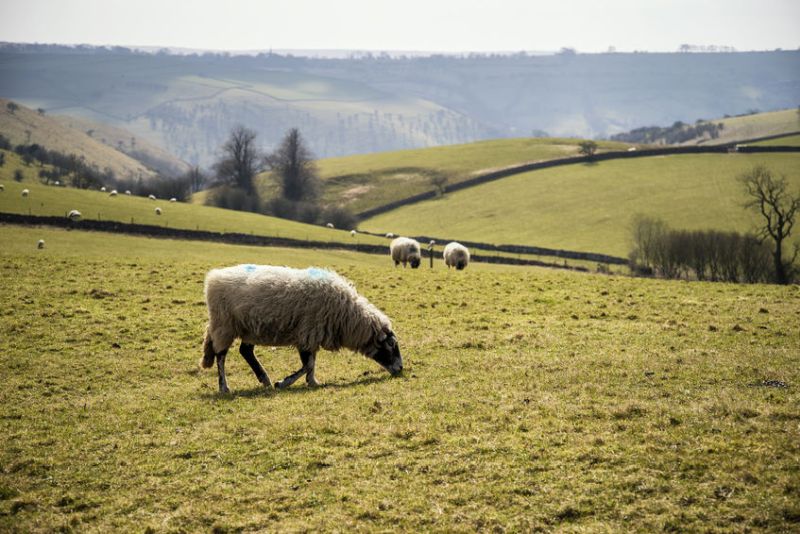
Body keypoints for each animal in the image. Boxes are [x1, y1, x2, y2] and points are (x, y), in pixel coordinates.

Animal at [203, 266, 404, 396]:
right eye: (391, 345)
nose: (401, 369)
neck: (348, 316)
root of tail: (214, 277)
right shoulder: (308, 332)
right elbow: (308, 364)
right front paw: (284, 382)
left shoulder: (312, 335)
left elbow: (312, 363)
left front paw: (312, 382)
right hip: (224, 325)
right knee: (221, 356)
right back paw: (224, 387)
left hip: (249, 327)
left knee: (245, 351)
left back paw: (264, 379)